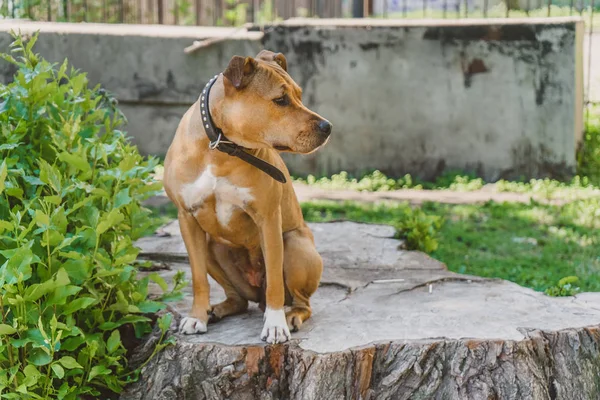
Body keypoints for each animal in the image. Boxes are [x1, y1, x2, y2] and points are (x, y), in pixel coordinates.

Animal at [164, 49, 330, 344]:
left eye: (299, 94)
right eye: (281, 100)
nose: (327, 127)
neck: (221, 147)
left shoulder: (268, 219)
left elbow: (274, 281)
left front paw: (275, 325)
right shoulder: (187, 219)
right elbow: (198, 278)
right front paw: (196, 317)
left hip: (295, 245)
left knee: (301, 302)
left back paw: (291, 316)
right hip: (212, 246)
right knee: (239, 300)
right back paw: (215, 311)